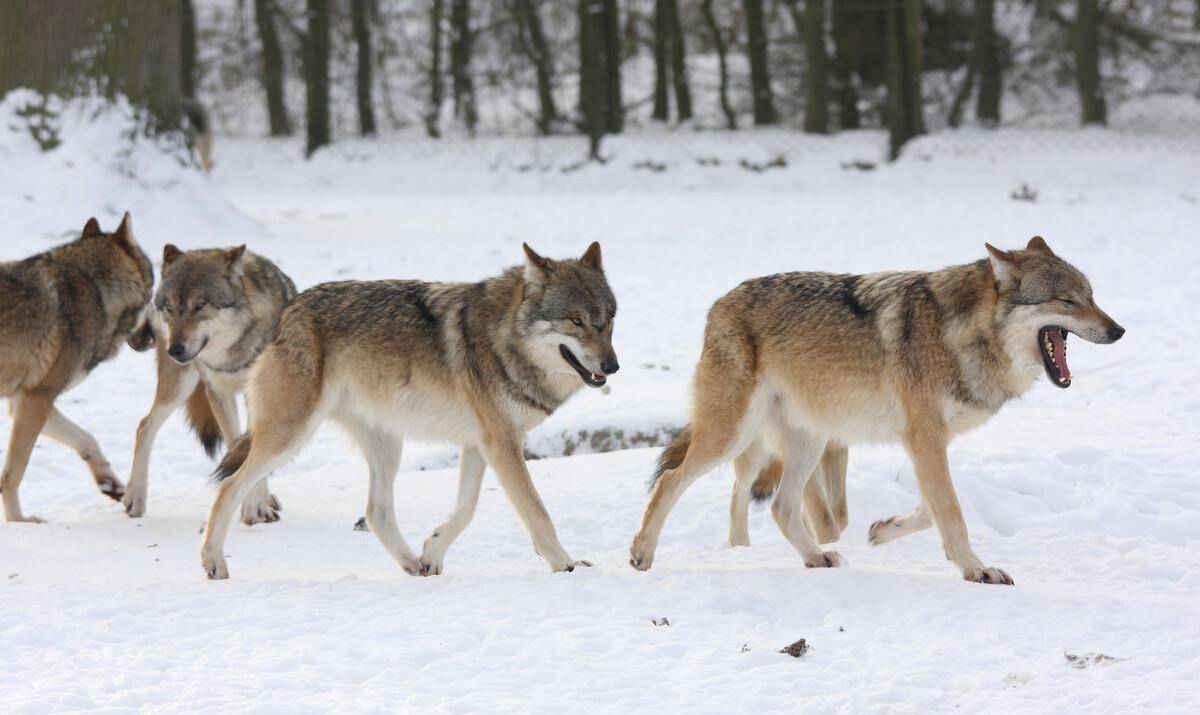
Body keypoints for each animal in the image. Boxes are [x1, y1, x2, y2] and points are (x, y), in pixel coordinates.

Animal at [0, 214, 154, 523]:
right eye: (155, 290)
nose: (156, 337)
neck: (97, 291)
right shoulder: (37, 400)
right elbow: (12, 475)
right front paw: (18, 522)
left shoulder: (25, 401)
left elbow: (87, 439)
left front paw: (109, 482)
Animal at [123, 244, 296, 520]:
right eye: (170, 307)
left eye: (200, 305)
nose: (175, 350)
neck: (232, 356)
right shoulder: (218, 393)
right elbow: (237, 446)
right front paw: (254, 506)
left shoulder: (259, 395)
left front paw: (257, 505)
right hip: (179, 385)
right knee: (144, 426)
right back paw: (134, 497)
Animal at [198, 243, 619, 578]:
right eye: (577, 321)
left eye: (607, 321)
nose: (613, 366)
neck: (505, 340)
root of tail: (289, 309)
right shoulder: (501, 444)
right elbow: (537, 512)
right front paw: (565, 565)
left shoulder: (479, 444)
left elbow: (466, 508)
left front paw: (432, 551)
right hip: (290, 436)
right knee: (229, 486)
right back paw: (213, 562)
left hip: (387, 448)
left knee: (376, 512)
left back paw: (413, 565)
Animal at [633, 237, 1128, 583]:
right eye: (1067, 301)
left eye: (1092, 296)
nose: (1119, 330)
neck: (962, 333)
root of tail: (720, 302)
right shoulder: (924, 439)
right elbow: (951, 511)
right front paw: (976, 570)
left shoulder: (926, 444)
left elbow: (934, 508)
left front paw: (884, 530)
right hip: (734, 434)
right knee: (673, 480)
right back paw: (641, 553)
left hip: (809, 441)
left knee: (780, 506)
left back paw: (815, 557)